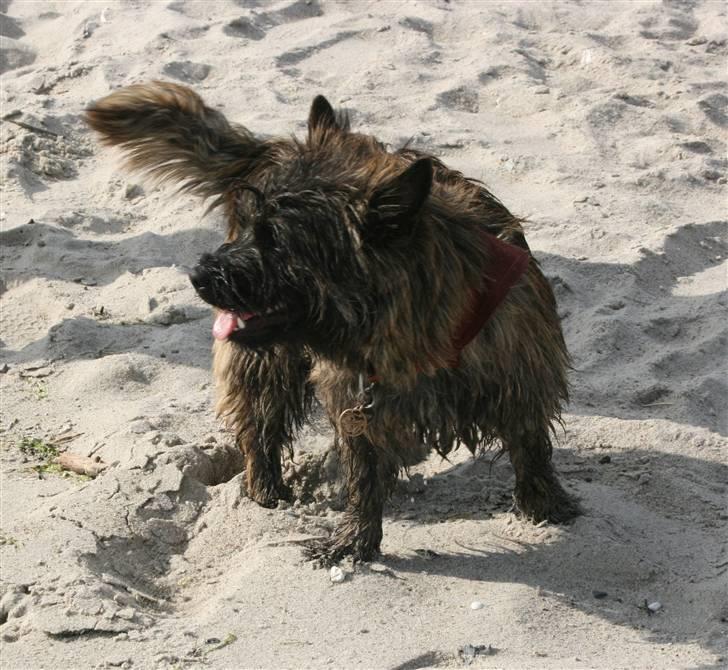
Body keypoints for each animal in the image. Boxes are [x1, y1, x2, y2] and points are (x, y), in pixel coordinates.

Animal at [85, 82, 576, 568]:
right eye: (248, 227)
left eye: (277, 241)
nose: (199, 275)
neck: (416, 335)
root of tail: (275, 147)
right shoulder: (353, 401)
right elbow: (363, 476)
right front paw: (355, 540)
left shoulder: (521, 378)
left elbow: (530, 445)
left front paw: (543, 503)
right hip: (267, 363)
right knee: (258, 422)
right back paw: (264, 484)